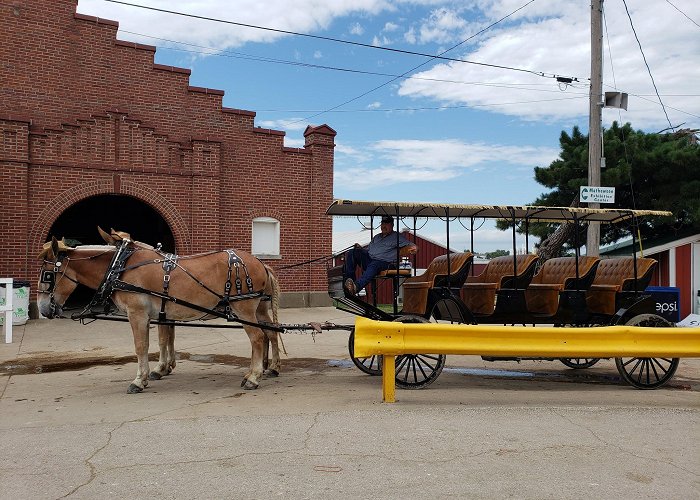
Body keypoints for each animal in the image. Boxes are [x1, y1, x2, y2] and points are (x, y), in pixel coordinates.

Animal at [36, 230, 282, 394]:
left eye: (47, 274)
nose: (42, 308)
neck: (120, 267)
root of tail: (259, 262)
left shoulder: (137, 314)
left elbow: (142, 346)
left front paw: (140, 380)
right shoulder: (161, 314)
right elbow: (163, 340)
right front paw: (159, 369)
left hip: (244, 308)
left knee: (257, 337)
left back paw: (254, 377)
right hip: (258, 308)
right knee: (270, 332)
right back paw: (267, 368)